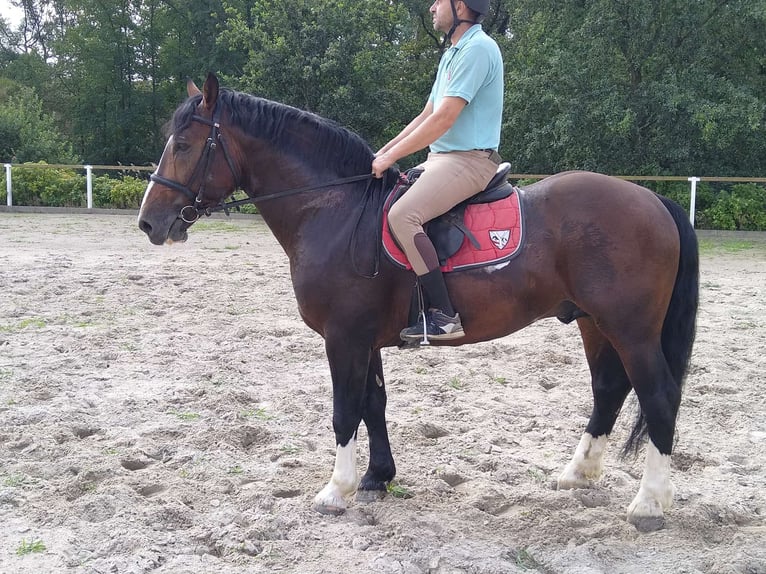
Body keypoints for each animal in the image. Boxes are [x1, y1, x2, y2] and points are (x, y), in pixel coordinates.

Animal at [140, 74, 704, 532]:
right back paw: (577, 474)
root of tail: (653, 199)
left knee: (658, 396)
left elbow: (344, 411)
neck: (335, 209)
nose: (150, 223)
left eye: (185, 144)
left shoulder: (344, 338)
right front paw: (376, 477)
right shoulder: (364, 340)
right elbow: (373, 404)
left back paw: (649, 504)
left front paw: (335, 490)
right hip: (593, 323)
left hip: (630, 328)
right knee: (609, 389)